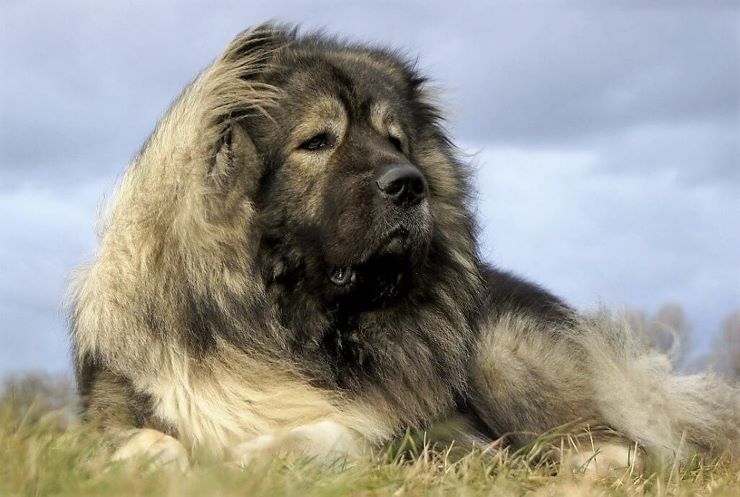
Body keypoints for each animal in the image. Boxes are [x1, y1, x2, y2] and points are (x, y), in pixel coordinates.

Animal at [66, 24, 736, 472]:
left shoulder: (425, 430)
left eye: (395, 141)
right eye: (318, 141)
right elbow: (147, 441)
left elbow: (341, 434)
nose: (409, 185)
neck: (302, 330)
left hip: (502, 350)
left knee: (624, 447)